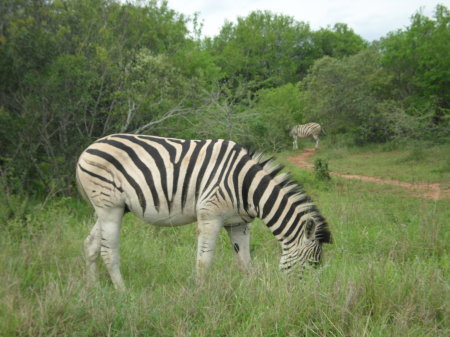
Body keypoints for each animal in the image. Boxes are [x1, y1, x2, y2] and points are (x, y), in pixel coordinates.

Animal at [76, 134, 330, 288]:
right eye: (313, 264)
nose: (308, 297)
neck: (246, 185)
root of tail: (88, 149)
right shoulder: (210, 215)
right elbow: (203, 261)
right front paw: (199, 295)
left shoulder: (238, 223)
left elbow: (245, 262)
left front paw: (250, 292)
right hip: (109, 208)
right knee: (108, 251)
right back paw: (123, 292)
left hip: (114, 208)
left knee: (91, 244)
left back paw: (93, 288)